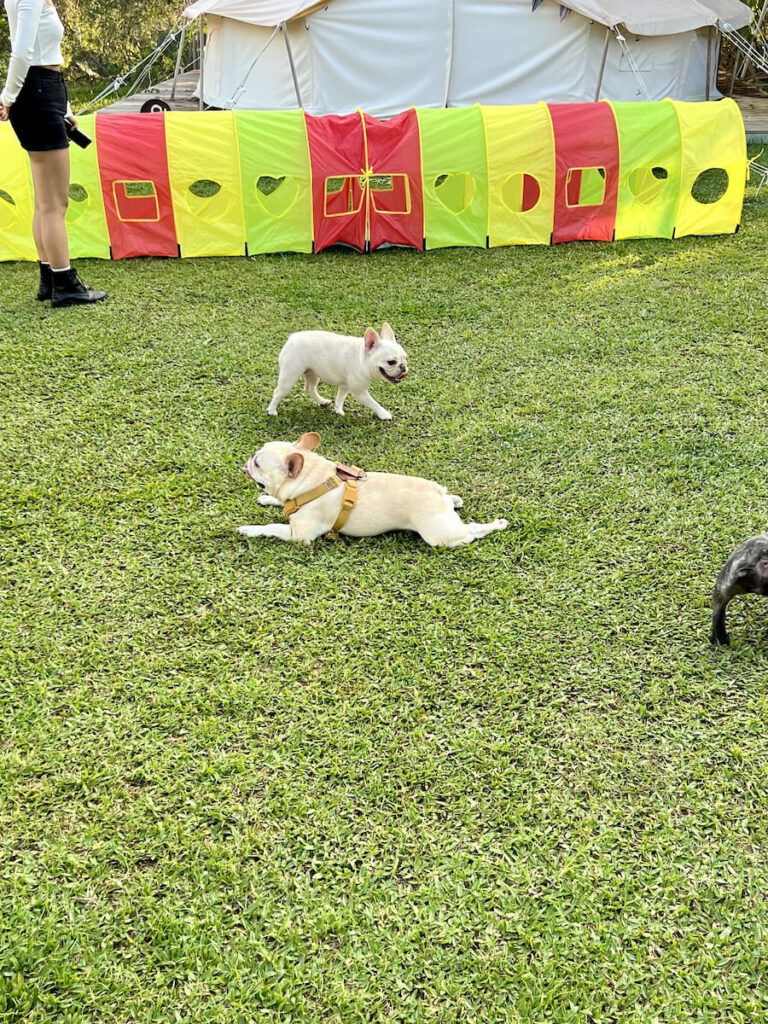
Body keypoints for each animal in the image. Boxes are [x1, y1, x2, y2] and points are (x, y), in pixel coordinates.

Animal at [237, 432, 507, 548]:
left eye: (258, 463)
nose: (248, 459)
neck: (313, 479)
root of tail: (439, 493)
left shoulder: (299, 535)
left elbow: (272, 527)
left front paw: (250, 529)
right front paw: (267, 499)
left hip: (440, 535)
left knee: (472, 531)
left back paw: (496, 524)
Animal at [266, 321, 409, 417]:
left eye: (405, 358)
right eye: (391, 362)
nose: (403, 367)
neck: (363, 358)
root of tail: (292, 338)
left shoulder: (345, 386)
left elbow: (340, 398)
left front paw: (338, 410)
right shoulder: (359, 392)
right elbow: (373, 403)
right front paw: (384, 414)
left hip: (312, 372)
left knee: (310, 388)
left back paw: (322, 401)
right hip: (290, 375)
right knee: (278, 392)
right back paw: (272, 411)